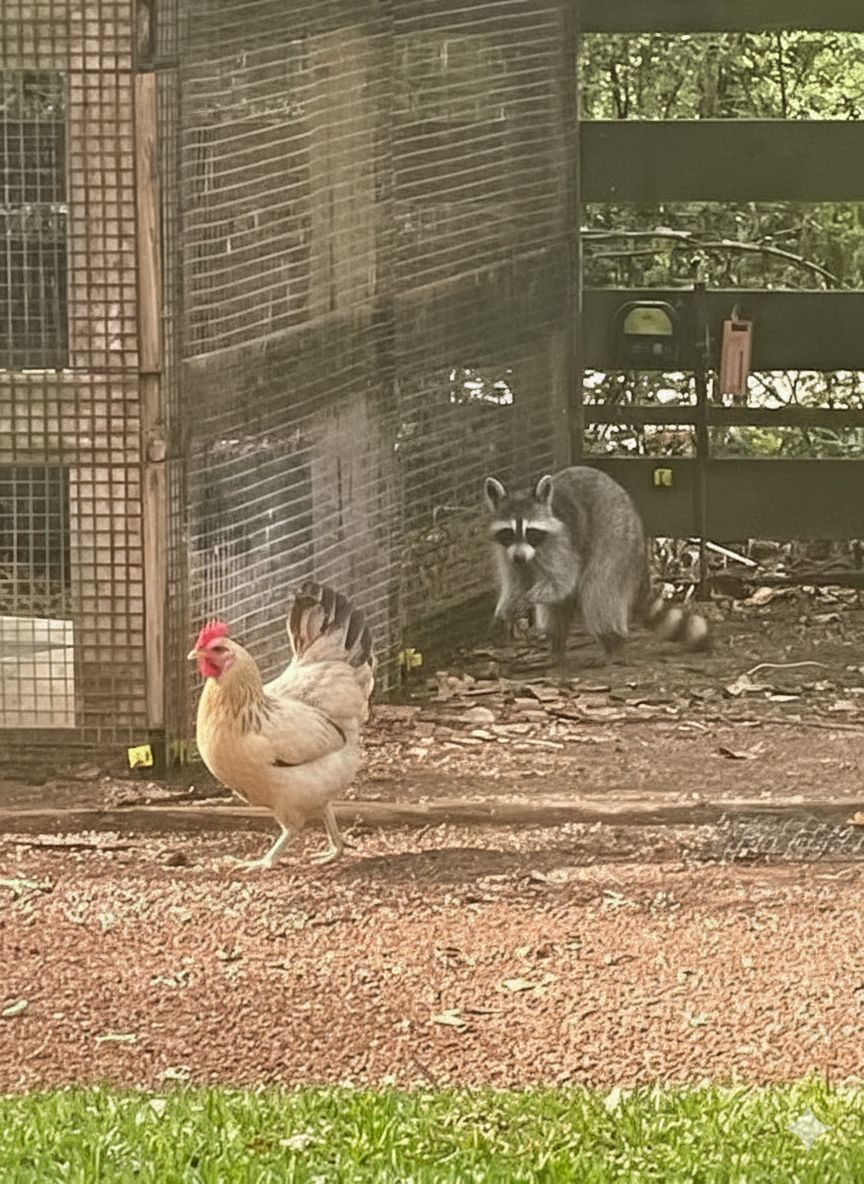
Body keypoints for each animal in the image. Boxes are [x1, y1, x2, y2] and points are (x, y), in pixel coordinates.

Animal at [483, 465, 711, 663]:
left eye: (530, 532)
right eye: (508, 532)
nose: (520, 558)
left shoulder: (560, 544)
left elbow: (561, 582)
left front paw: (528, 599)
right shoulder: (506, 552)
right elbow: (517, 584)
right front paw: (507, 607)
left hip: (616, 538)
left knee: (597, 590)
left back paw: (613, 643)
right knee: (559, 606)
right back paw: (557, 645)